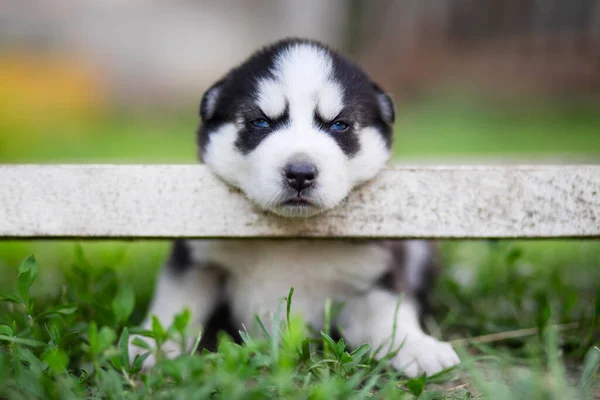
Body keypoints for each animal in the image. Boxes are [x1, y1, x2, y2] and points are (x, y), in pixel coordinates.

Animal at [130, 38, 460, 378]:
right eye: (261, 121)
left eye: (339, 125)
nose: (300, 173)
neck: (292, 237)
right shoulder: (200, 259)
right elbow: (176, 301)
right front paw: (156, 343)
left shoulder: (371, 273)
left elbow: (390, 313)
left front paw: (419, 347)